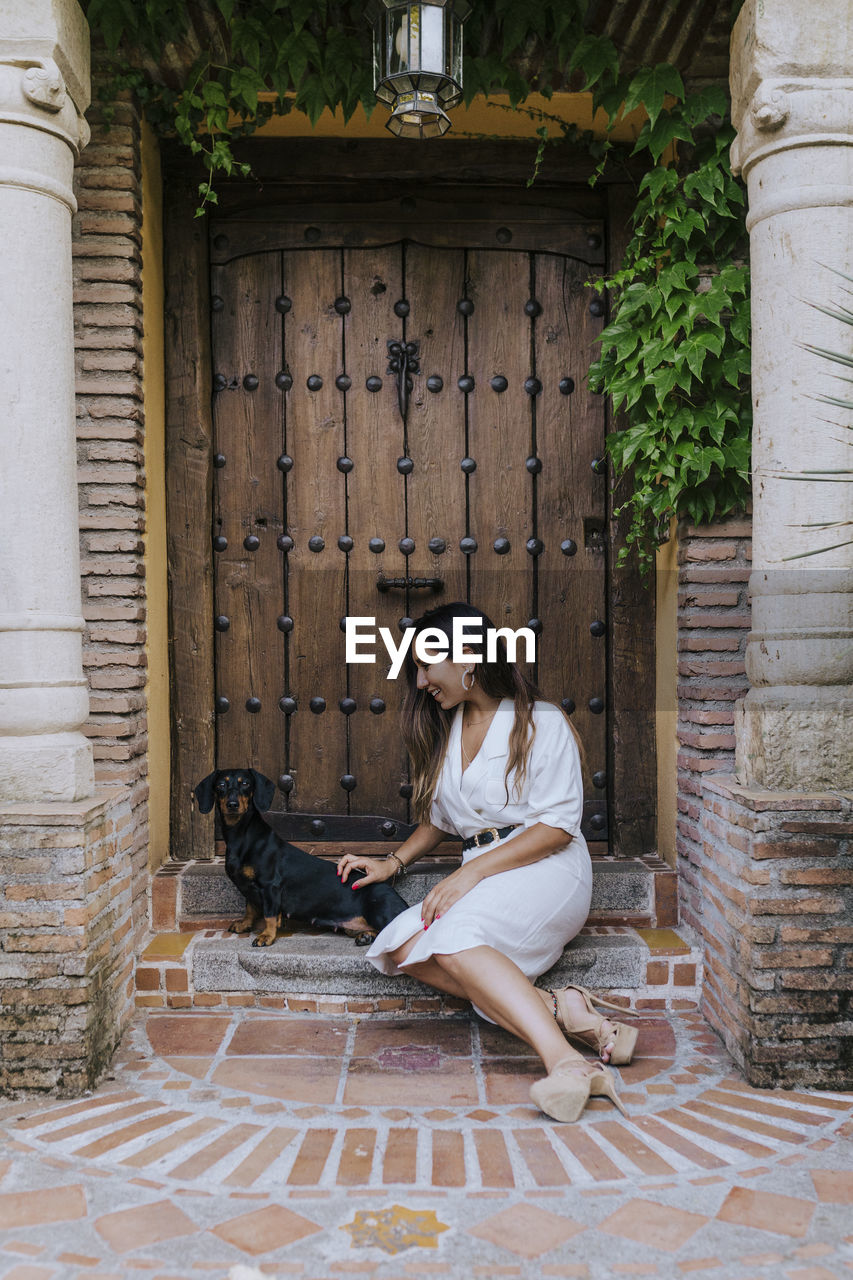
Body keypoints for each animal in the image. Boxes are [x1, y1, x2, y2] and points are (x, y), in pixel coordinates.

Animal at [194, 762, 407, 947]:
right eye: (221, 785)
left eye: (246, 783)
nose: (232, 804)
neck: (242, 836)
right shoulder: (249, 887)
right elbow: (250, 907)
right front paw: (244, 924)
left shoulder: (270, 885)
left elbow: (269, 915)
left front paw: (266, 936)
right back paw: (365, 936)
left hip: (380, 910)